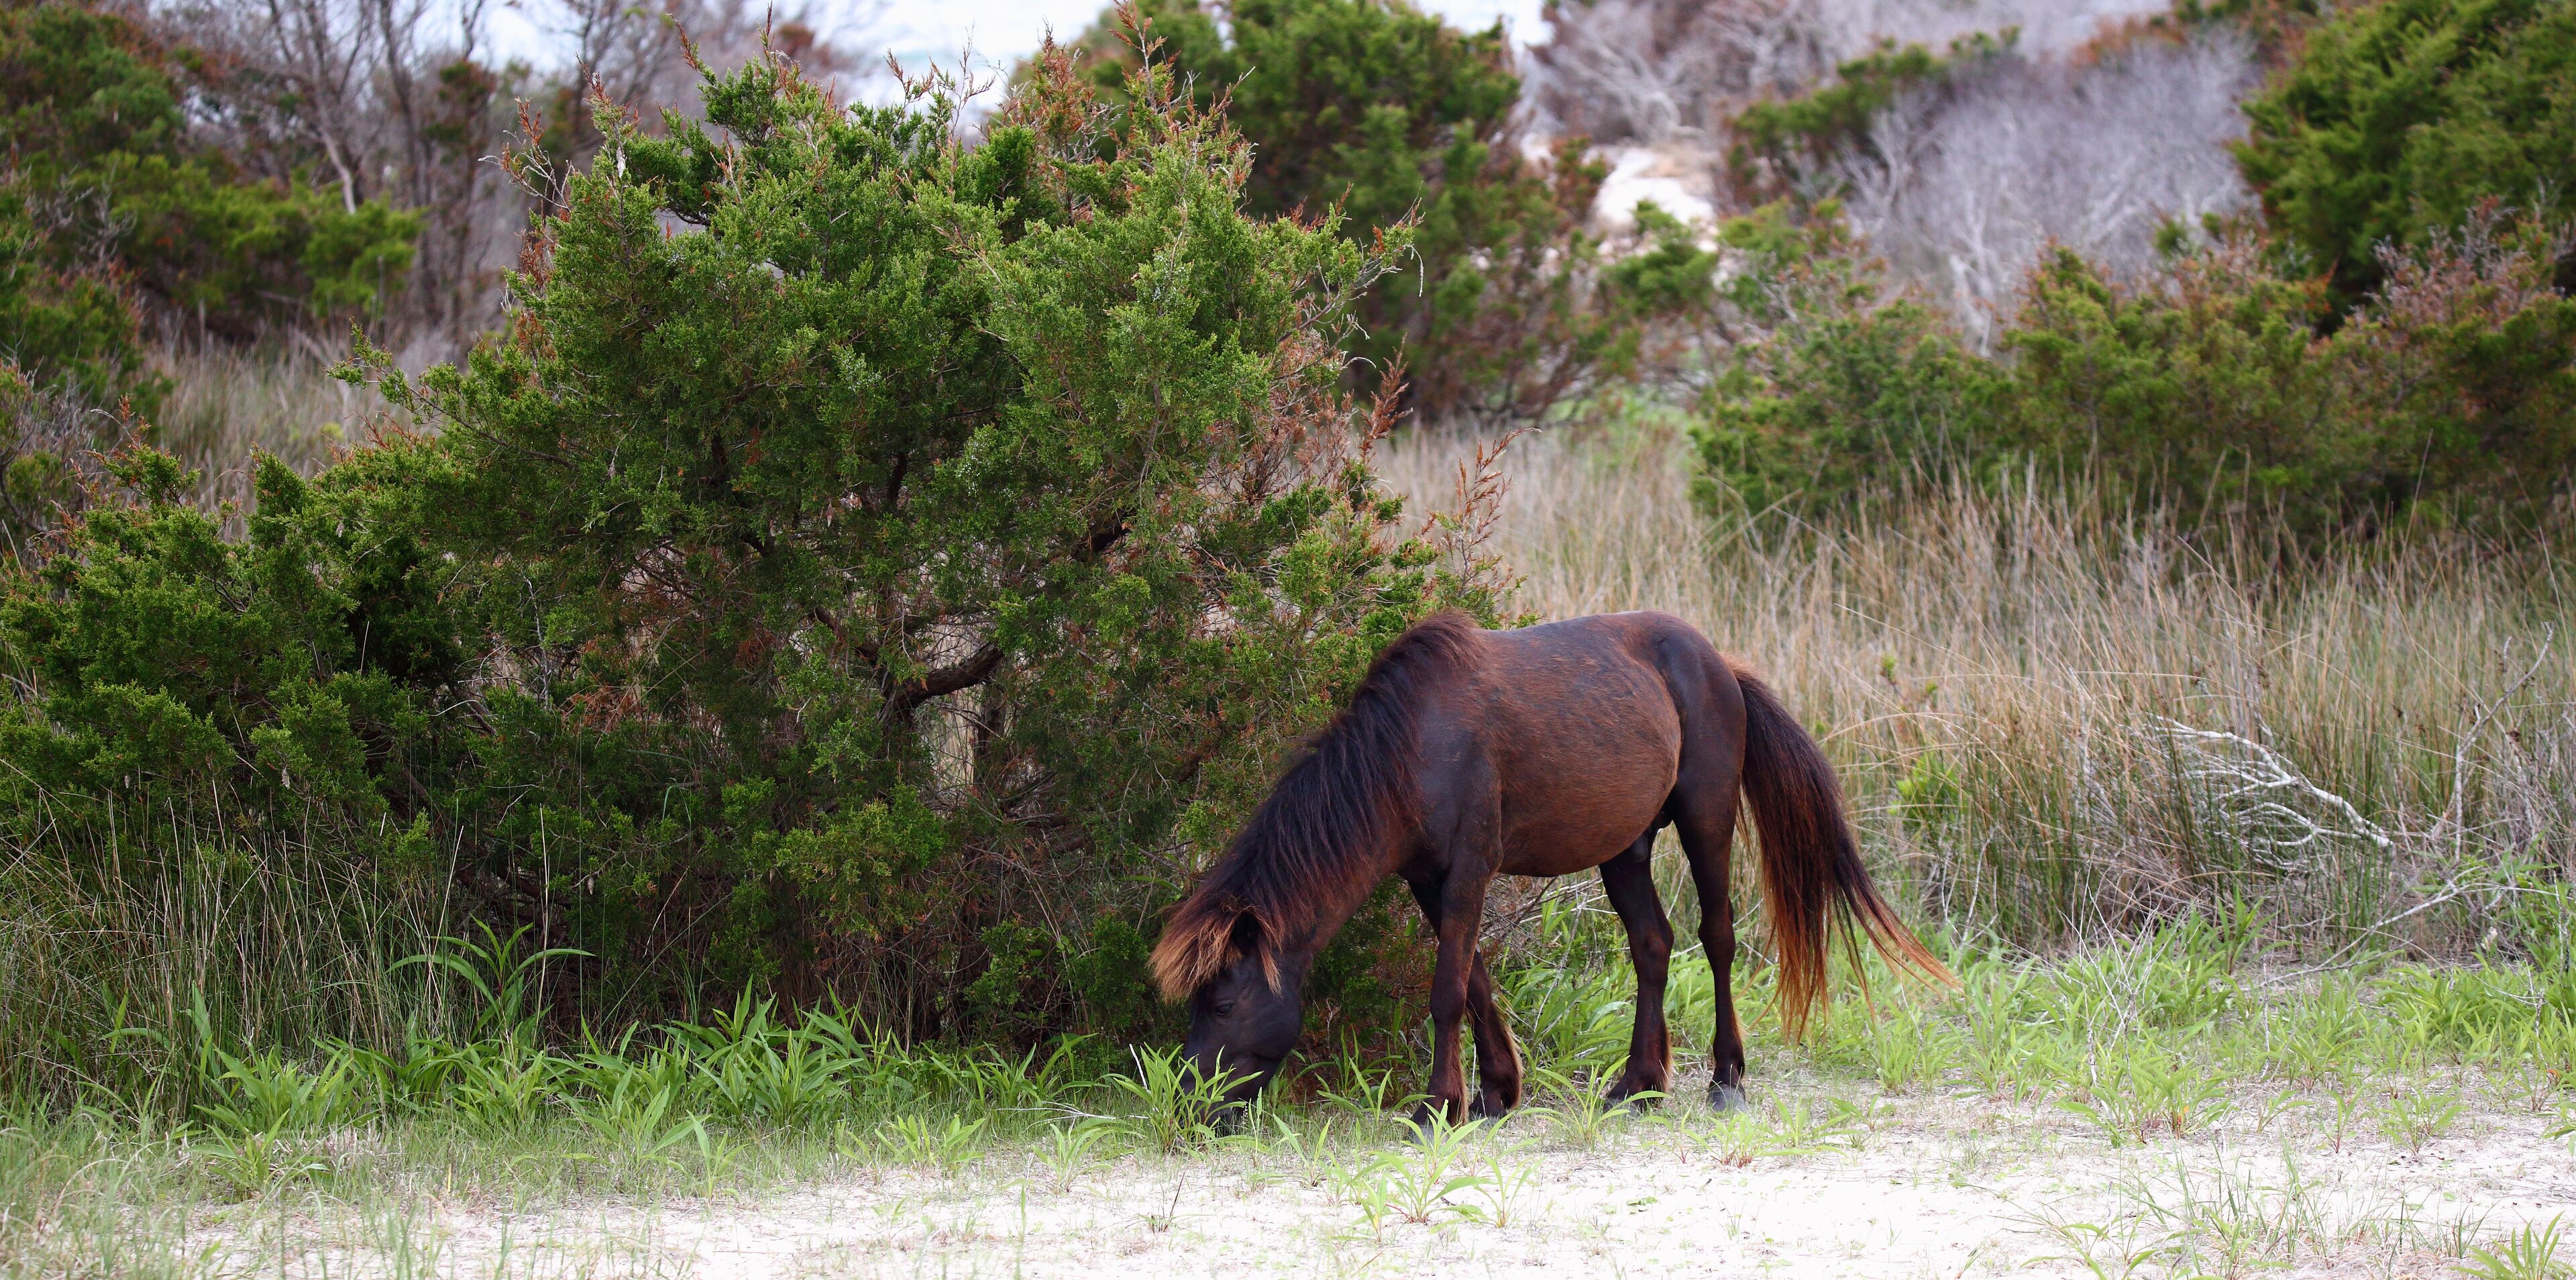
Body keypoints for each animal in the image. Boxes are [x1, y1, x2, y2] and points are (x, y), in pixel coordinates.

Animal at [1149, 609, 1951, 1125]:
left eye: (1220, 1005)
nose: (1186, 1105)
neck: (1411, 750)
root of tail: (1720, 664)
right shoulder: (1429, 880)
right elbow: (1473, 982)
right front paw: (1495, 1093)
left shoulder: (1470, 869)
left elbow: (1446, 991)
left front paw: (1437, 1107)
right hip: (1624, 850)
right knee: (1652, 946)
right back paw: (1638, 1084)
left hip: (1707, 824)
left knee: (1717, 940)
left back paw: (1725, 1079)